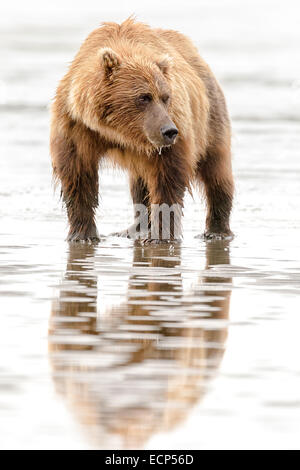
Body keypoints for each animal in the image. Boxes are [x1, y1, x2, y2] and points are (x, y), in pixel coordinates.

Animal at [50, 17, 234, 244]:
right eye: (144, 97)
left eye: (165, 97)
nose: (169, 131)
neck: (119, 132)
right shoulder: (76, 125)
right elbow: (77, 174)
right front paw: (82, 235)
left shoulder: (172, 130)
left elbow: (168, 178)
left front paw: (161, 236)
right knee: (139, 185)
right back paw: (134, 229)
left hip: (210, 119)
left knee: (216, 171)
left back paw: (216, 231)